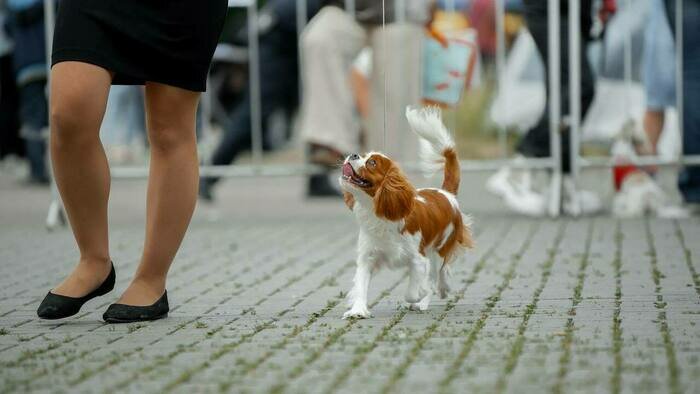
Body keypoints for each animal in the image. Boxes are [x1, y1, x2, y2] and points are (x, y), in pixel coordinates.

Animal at [338, 106, 474, 318]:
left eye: (372, 163)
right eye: (363, 155)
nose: (353, 154)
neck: (377, 214)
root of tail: (446, 193)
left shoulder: (418, 259)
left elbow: (413, 292)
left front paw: (420, 295)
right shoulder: (367, 258)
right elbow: (361, 285)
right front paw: (358, 310)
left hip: (440, 248)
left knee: (441, 272)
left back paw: (436, 293)